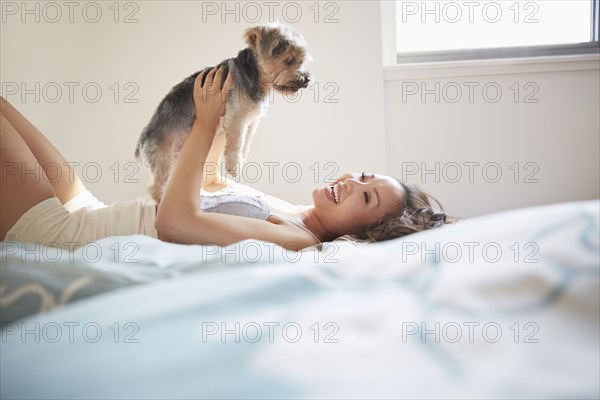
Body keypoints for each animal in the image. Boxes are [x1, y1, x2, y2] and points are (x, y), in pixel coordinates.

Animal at [135, 23, 310, 202]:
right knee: (156, 187)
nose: (307, 79)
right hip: (163, 157)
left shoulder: (252, 121)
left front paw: (242, 160)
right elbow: (236, 143)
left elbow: (246, 142)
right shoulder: (236, 118)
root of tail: (141, 143)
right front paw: (234, 167)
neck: (255, 77)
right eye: (289, 60)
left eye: (302, 61)